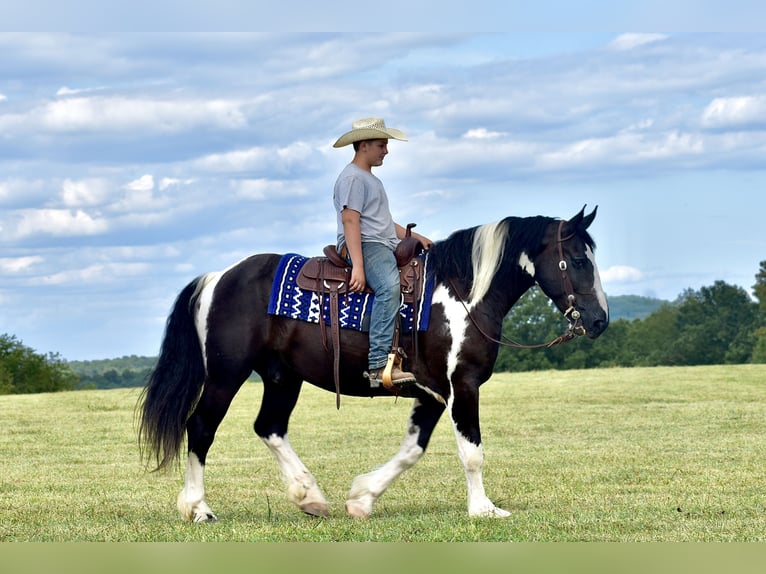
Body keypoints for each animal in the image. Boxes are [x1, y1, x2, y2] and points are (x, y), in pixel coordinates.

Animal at [136, 207, 608, 520]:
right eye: (578, 260)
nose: (600, 320)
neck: (463, 294)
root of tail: (218, 277)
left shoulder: (432, 393)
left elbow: (412, 450)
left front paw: (362, 498)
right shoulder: (463, 386)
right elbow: (472, 453)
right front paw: (484, 509)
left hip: (281, 376)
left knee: (269, 427)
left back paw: (309, 496)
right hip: (226, 375)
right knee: (201, 427)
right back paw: (198, 508)